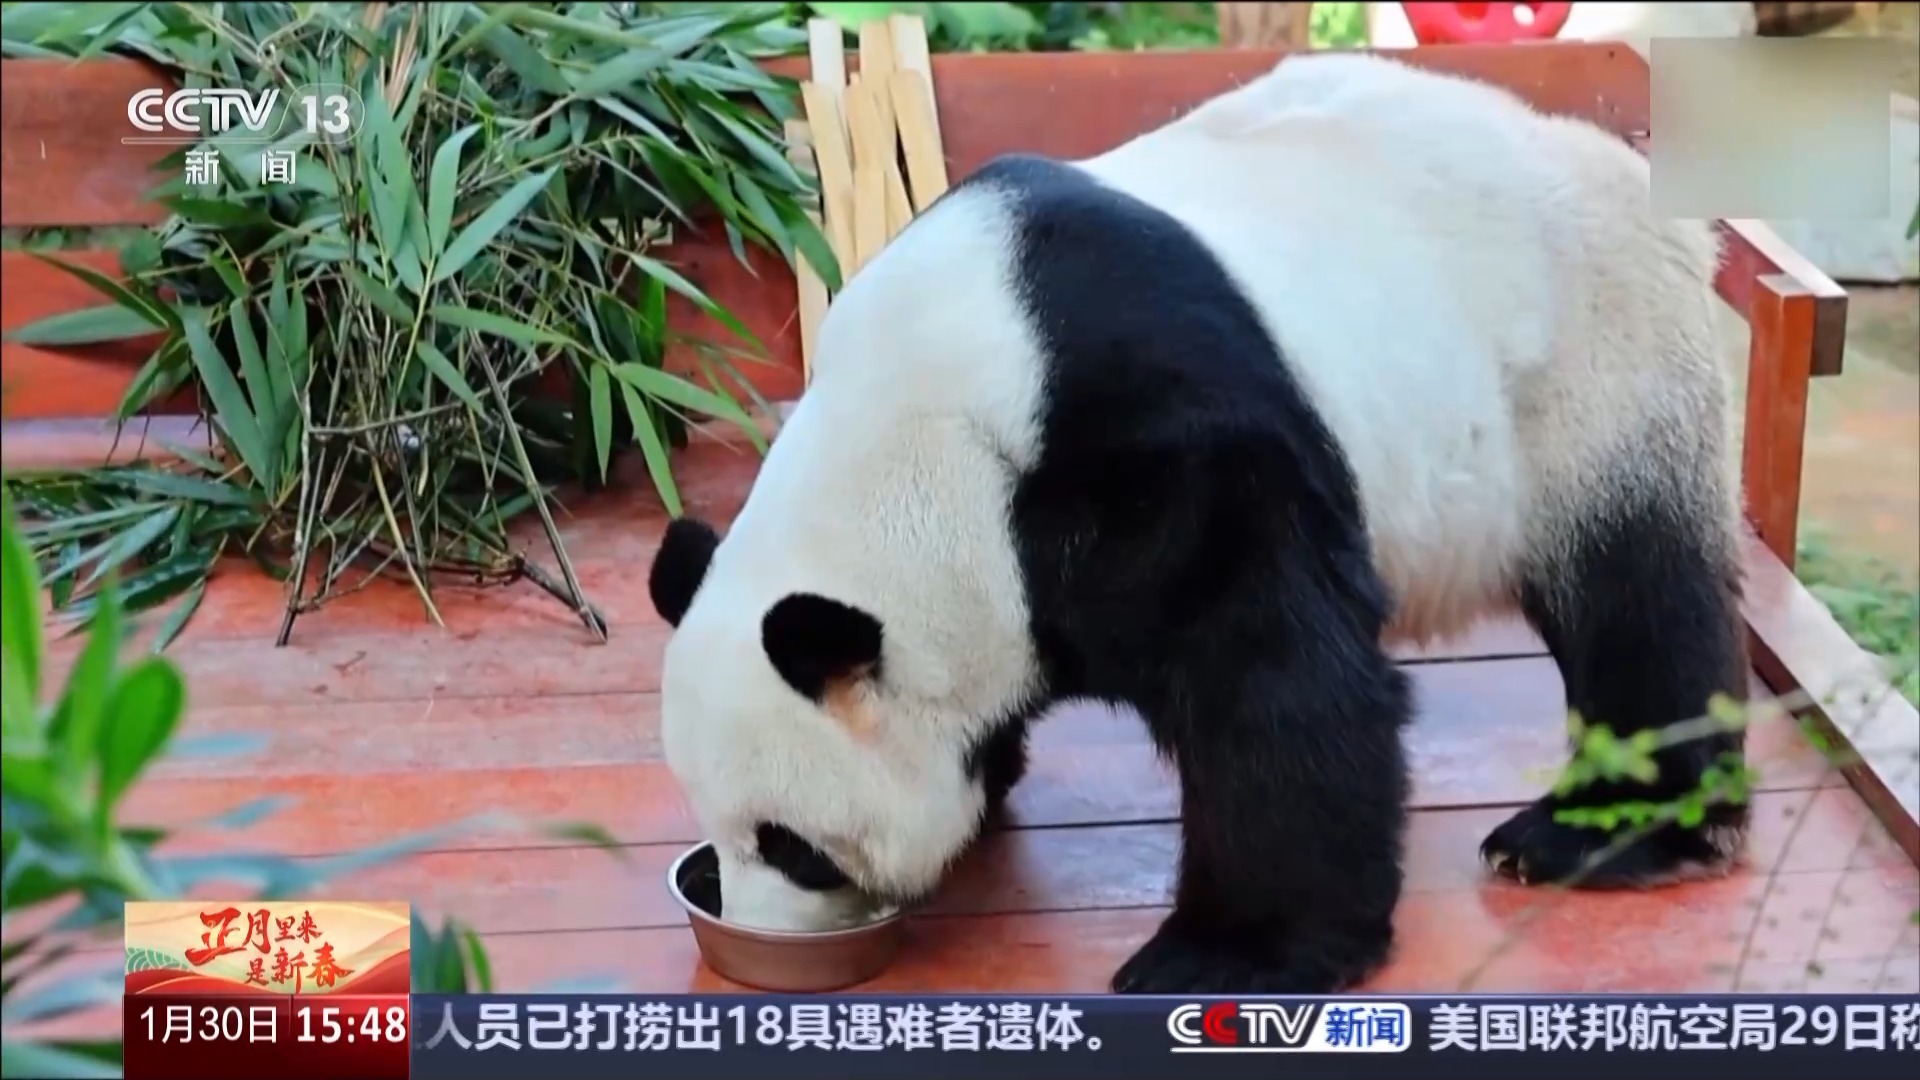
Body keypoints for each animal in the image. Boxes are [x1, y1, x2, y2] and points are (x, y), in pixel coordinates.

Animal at [645, 52, 1750, 994]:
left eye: (791, 845)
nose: (756, 929)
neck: (922, 449)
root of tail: (1633, 173)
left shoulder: (1156, 447)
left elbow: (1269, 678)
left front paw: (1230, 953)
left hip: (1594, 373)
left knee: (1639, 600)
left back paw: (1601, 831)